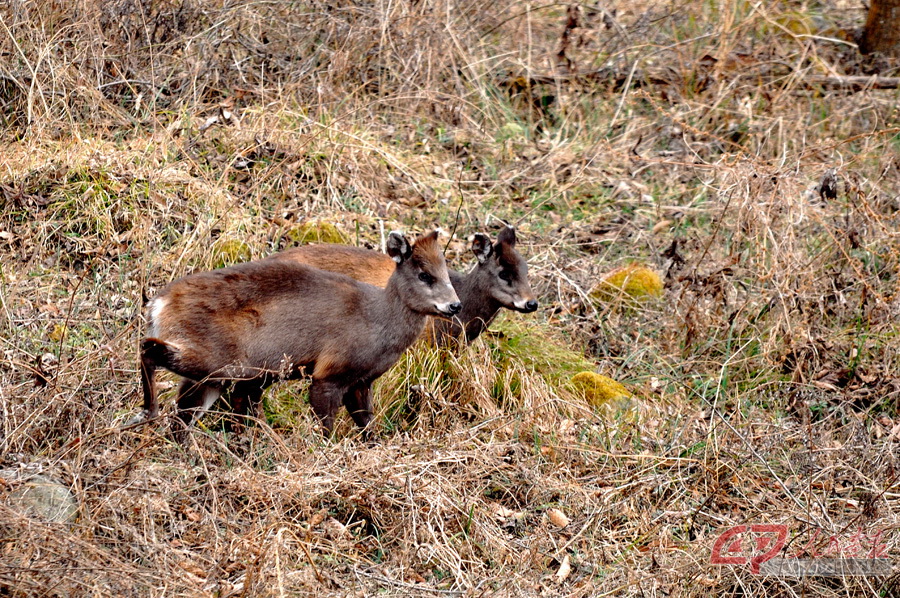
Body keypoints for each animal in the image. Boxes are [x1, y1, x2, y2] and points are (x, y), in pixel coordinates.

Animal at [137, 232, 460, 438]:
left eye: (447, 274)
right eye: (424, 275)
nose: (454, 306)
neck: (377, 320)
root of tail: (158, 305)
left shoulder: (361, 381)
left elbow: (368, 426)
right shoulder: (329, 372)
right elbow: (326, 428)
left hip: (219, 375)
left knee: (183, 414)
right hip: (220, 361)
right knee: (148, 349)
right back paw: (148, 412)